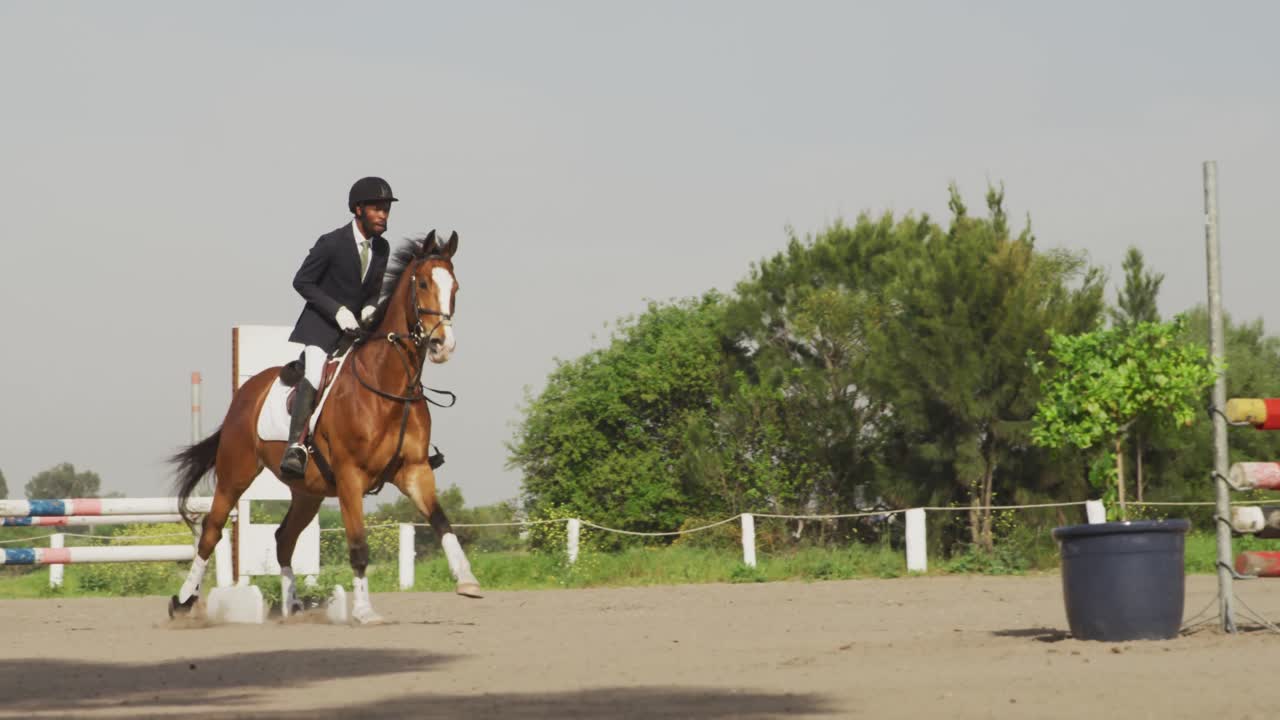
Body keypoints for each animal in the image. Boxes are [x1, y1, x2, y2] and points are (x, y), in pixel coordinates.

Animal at [168, 230, 477, 624]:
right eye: (422, 283)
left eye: (455, 287)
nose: (442, 345)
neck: (390, 386)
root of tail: (247, 391)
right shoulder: (350, 476)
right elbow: (358, 545)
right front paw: (364, 611)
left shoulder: (415, 471)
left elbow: (442, 522)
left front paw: (467, 581)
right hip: (236, 473)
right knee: (211, 532)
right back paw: (183, 601)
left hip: (308, 491)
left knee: (283, 538)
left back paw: (293, 607)